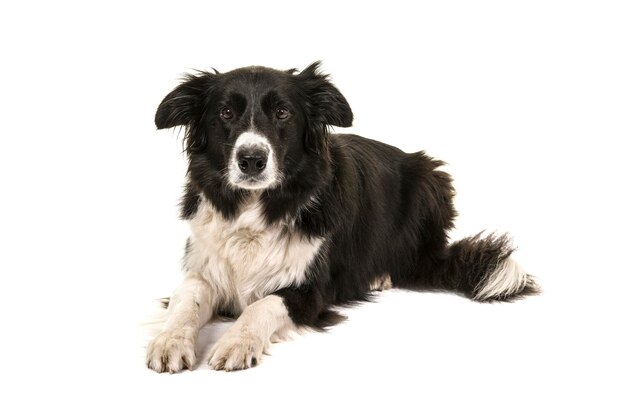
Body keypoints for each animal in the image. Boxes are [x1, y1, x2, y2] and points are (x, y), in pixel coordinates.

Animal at [145, 63, 536, 372]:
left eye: (283, 113)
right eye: (225, 113)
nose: (251, 160)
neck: (256, 210)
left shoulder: (311, 290)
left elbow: (263, 304)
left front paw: (235, 341)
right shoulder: (205, 267)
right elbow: (187, 297)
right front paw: (169, 340)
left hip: (431, 178)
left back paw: (380, 276)